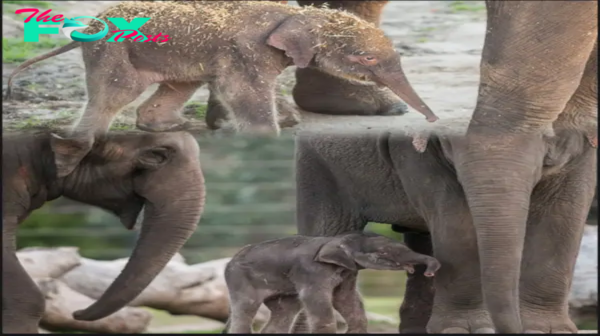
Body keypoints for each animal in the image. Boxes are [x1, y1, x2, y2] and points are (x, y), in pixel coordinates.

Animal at [223, 231, 438, 334]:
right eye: (383, 253)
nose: (429, 272)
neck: (335, 239)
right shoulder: (311, 271)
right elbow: (319, 301)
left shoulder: (348, 271)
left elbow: (345, 299)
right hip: (239, 280)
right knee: (245, 311)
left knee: (285, 310)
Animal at [294, 0, 596, 334]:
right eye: (448, 143)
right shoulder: (416, 156)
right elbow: (455, 218)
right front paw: (467, 330)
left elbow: (562, 217)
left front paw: (545, 330)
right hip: (318, 170)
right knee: (324, 234)